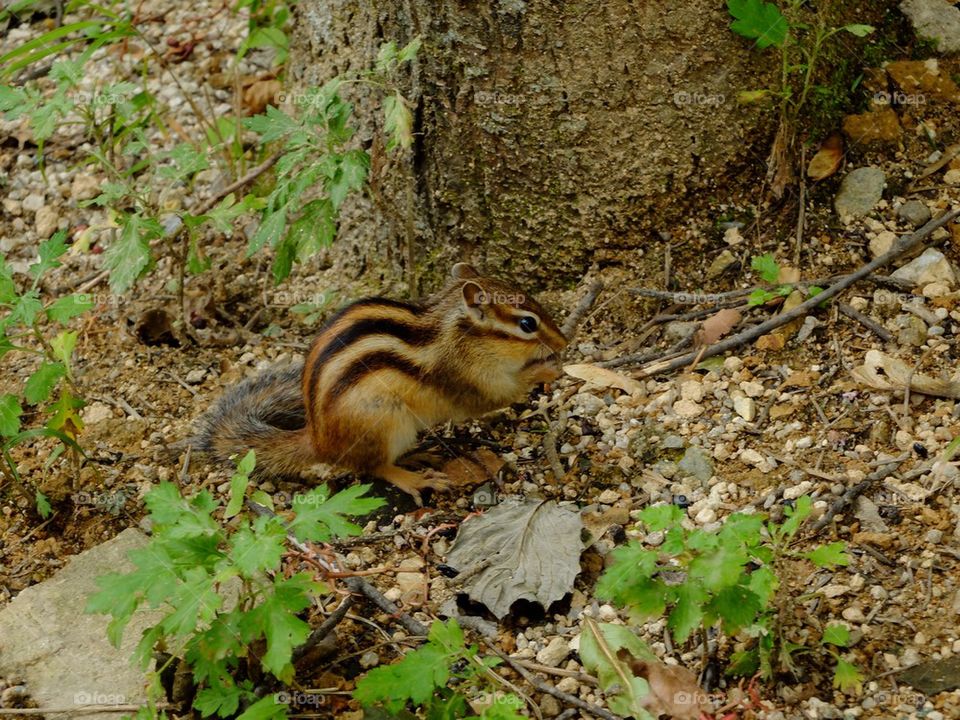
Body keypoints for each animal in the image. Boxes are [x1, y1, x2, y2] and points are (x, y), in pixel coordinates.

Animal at [192, 263, 568, 503]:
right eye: (527, 324)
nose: (563, 341)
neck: (457, 333)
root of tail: (318, 440)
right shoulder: (465, 378)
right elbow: (497, 395)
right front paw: (546, 369)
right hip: (383, 420)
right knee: (375, 467)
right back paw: (412, 477)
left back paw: (418, 456)